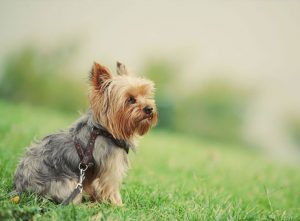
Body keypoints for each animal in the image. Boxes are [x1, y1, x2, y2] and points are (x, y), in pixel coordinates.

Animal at [12, 61, 157, 205]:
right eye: (130, 99)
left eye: (146, 95)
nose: (149, 108)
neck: (105, 131)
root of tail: (19, 188)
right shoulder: (111, 171)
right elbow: (112, 192)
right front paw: (119, 207)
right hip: (67, 184)